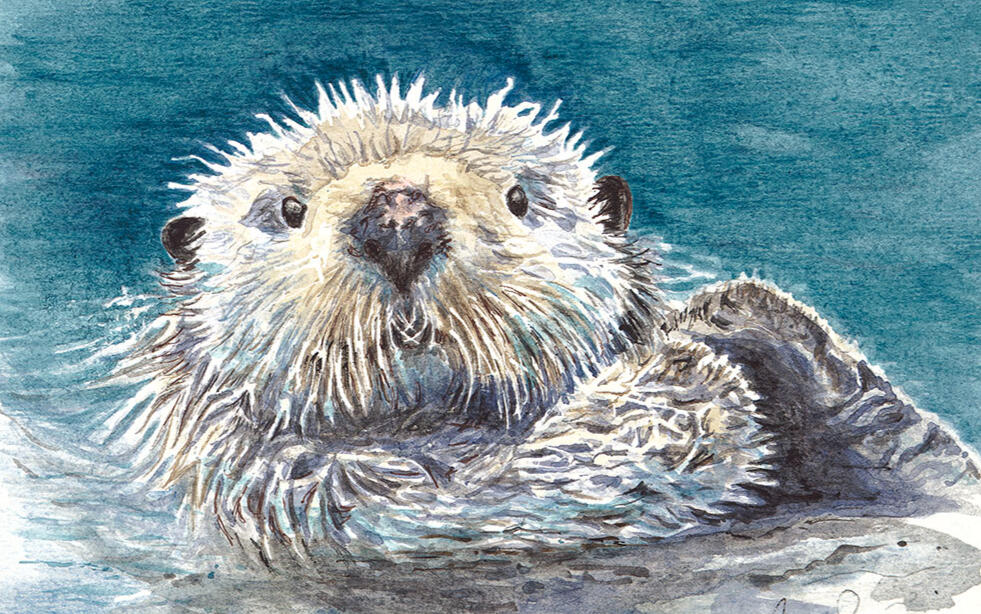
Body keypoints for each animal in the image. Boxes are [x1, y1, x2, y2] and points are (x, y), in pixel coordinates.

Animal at [116, 77, 978, 561]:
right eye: (288, 210)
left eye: (519, 198)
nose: (398, 218)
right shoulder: (314, 496)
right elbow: (544, 484)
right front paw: (689, 372)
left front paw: (748, 317)